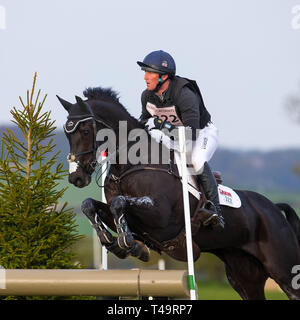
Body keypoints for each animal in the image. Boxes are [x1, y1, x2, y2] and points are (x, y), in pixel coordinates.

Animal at [57, 86, 300, 298]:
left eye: (85, 131)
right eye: (67, 135)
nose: (76, 178)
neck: (129, 165)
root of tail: (273, 208)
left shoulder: (161, 219)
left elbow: (119, 203)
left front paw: (129, 244)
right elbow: (90, 204)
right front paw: (114, 243)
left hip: (284, 268)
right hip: (244, 275)